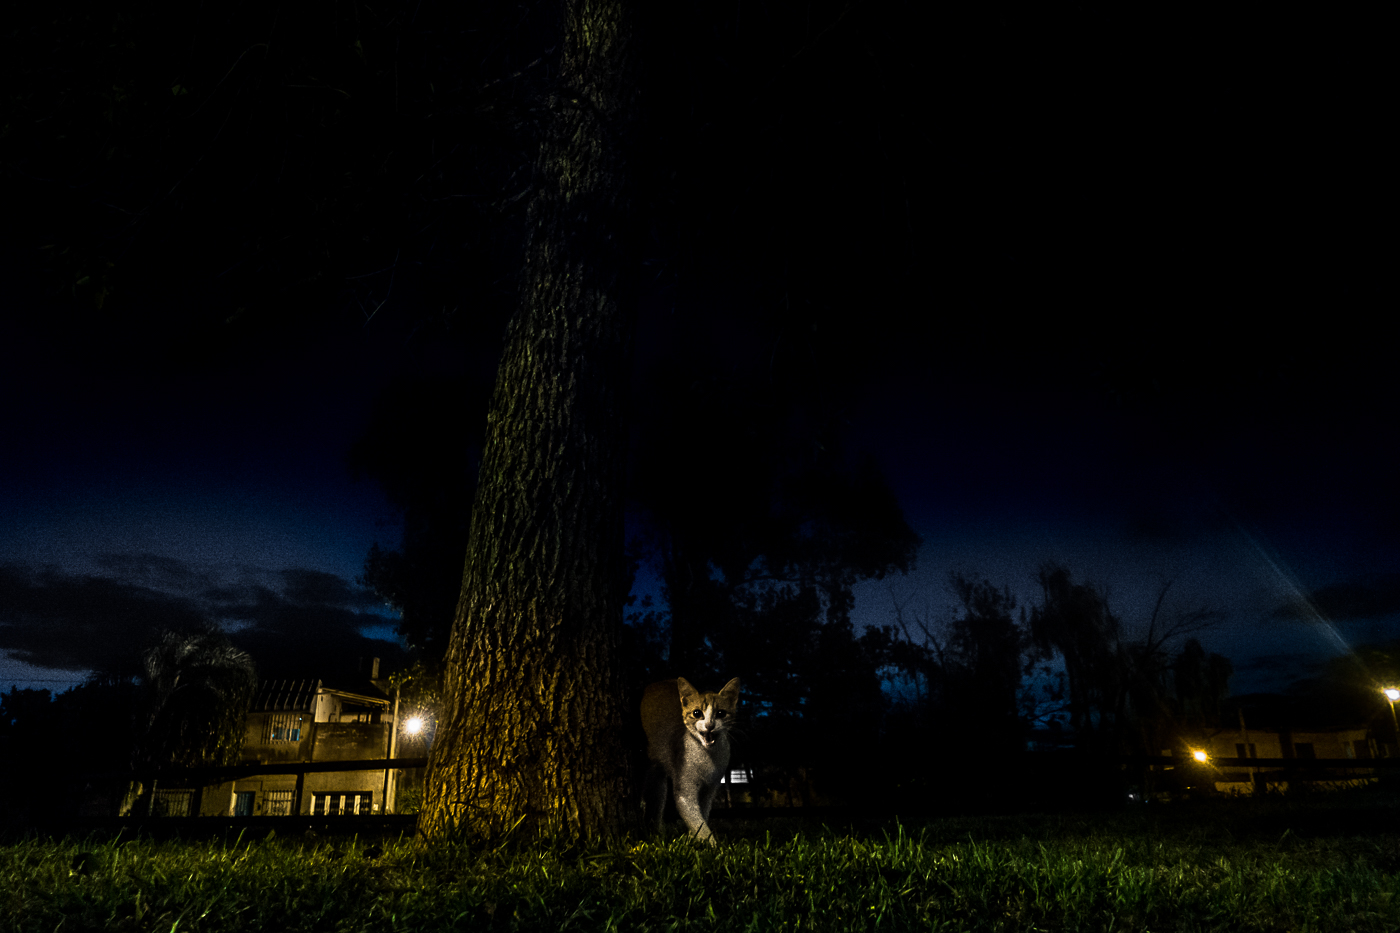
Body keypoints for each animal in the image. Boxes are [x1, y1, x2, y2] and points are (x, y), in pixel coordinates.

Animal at [640, 676, 741, 845]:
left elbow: (703, 815)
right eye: (697, 713)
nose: (709, 725)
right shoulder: (684, 789)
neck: (707, 758)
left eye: (721, 713)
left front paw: (692, 840)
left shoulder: (710, 788)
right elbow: (697, 820)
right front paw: (713, 846)